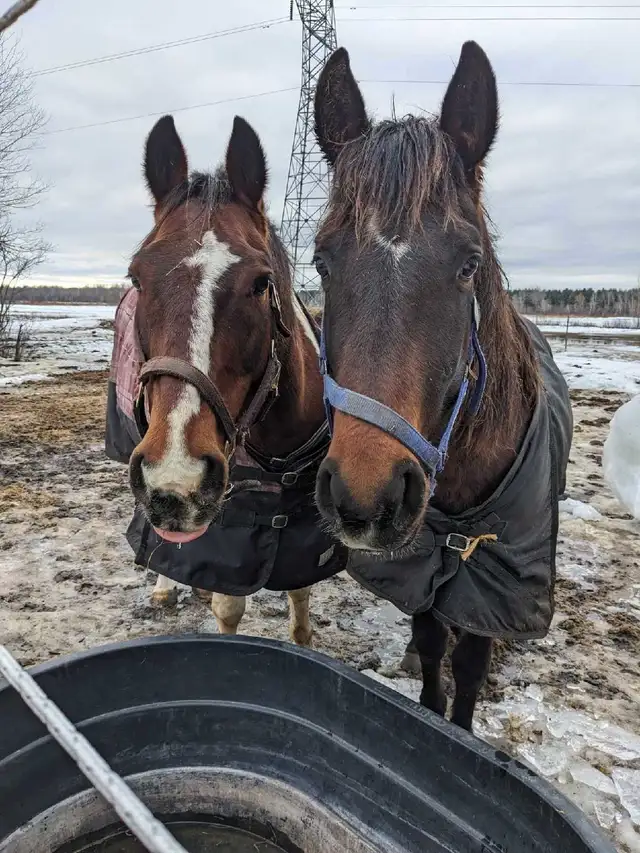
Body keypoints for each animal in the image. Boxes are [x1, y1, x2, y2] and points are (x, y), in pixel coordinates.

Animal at [117, 113, 341, 645]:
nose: (177, 478)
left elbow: (300, 601)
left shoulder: (303, 540)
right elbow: (228, 608)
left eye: (261, 282)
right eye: (137, 278)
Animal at [312, 42, 572, 730]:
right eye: (321, 260)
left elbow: (471, 663)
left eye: (468, 264)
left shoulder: (491, 579)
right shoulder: (422, 559)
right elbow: (432, 644)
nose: (364, 497)